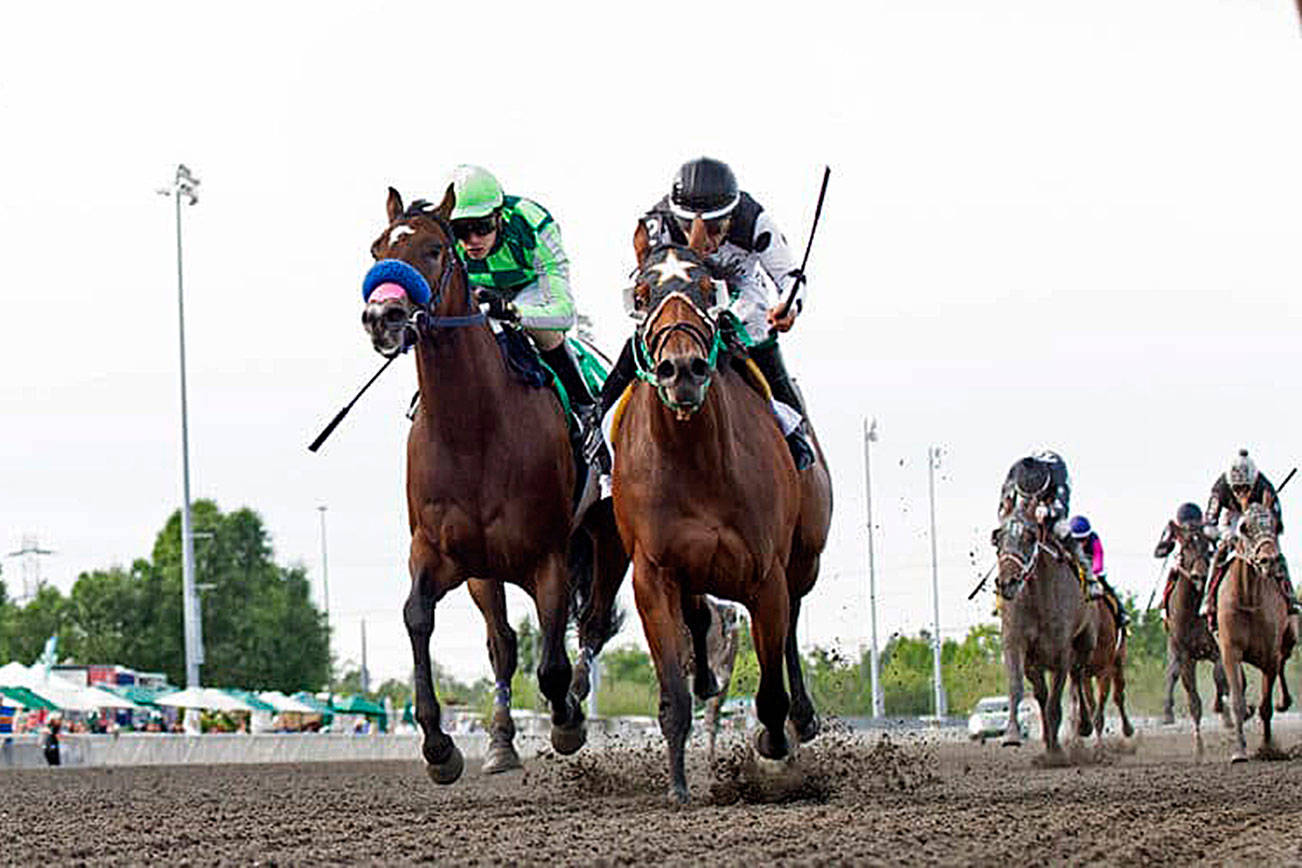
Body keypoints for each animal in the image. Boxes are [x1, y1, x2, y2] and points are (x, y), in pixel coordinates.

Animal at [359, 187, 627, 786]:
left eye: (435, 249)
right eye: (376, 249)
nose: (382, 316)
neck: (473, 429)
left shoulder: (549, 555)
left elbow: (549, 664)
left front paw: (568, 721)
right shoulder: (437, 551)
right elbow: (419, 618)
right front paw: (439, 747)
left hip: (609, 539)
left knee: (592, 627)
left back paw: (578, 699)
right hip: (487, 571)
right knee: (502, 644)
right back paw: (503, 743)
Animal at [611, 221, 833, 806]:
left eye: (708, 289)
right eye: (641, 294)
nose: (683, 369)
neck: (695, 460)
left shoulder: (766, 573)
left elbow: (772, 684)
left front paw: (774, 741)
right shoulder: (652, 574)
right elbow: (673, 694)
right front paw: (678, 786)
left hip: (804, 559)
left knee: (792, 623)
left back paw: (801, 720)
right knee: (699, 613)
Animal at [994, 504, 1098, 765]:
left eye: (1030, 537)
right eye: (997, 538)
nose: (1007, 582)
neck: (1037, 599)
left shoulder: (1061, 653)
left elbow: (1055, 704)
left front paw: (1057, 752)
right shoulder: (1017, 645)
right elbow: (1017, 686)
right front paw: (1012, 735)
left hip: (1085, 642)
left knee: (1078, 677)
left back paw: (1083, 725)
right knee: (1043, 693)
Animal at [1161, 520, 1229, 754]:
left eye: (1206, 547)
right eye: (1186, 547)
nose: (1200, 575)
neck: (1192, 613)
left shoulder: (1217, 647)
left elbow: (1220, 675)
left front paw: (1222, 707)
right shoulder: (1185, 655)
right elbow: (1193, 700)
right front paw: (1199, 748)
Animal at [1213, 504, 1296, 765]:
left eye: (1275, 525)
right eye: (1244, 528)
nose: (1270, 560)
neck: (1248, 597)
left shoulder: (1269, 654)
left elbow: (1266, 705)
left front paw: (1268, 747)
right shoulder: (1230, 650)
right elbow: (1237, 700)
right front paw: (1240, 751)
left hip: (1289, 638)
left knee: (1283, 662)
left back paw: (1284, 702)